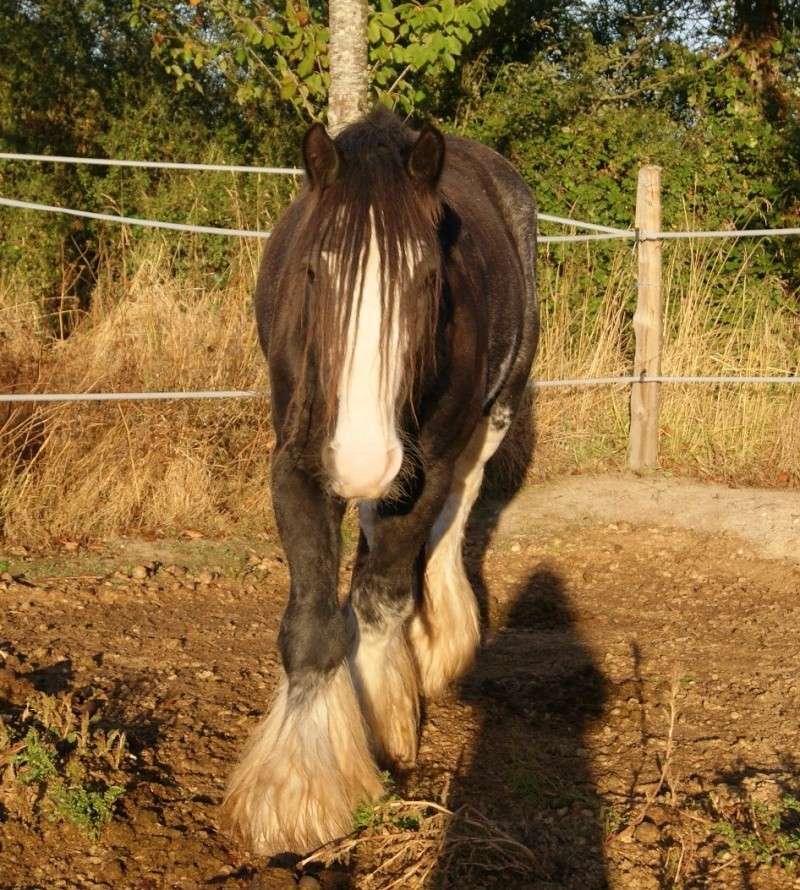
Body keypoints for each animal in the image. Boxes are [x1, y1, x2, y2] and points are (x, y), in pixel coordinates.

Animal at [223, 109, 536, 852]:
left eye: (427, 277)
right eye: (314, 270)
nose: (364, 460)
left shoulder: (427, 467)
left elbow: (381, 599)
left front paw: (382, 724)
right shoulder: (297, 463)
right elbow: (312, 625)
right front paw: (294, 791)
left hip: (493, 417)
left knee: (454, 519)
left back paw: (440, 638)